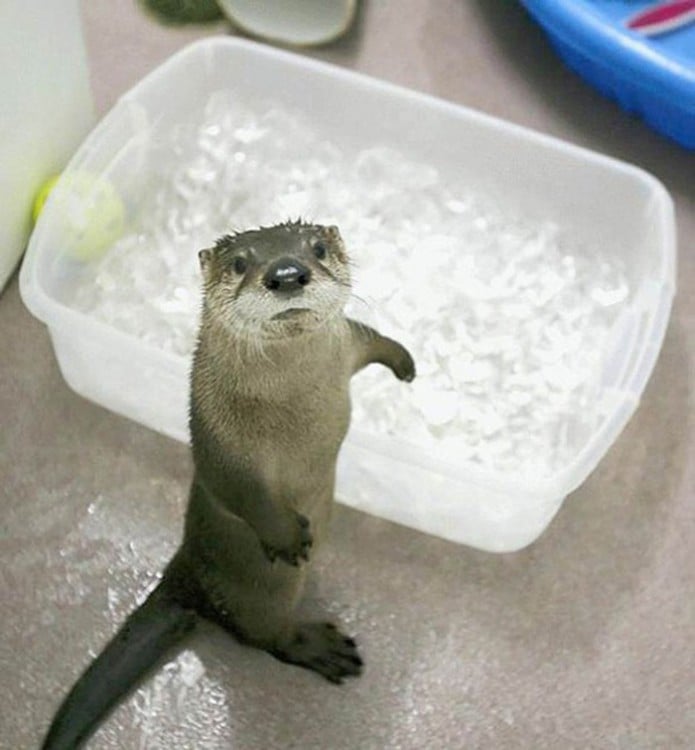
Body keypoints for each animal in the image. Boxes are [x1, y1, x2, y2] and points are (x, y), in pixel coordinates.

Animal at [43, 220, 416, 748]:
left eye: (318, 249)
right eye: (240, 263)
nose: (287, 273)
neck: (290, 399)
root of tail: (186, 573)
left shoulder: (345, 343)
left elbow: (371, 336)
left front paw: (404, 361)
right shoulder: (220, 439)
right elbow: (240, 490)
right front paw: (286, 537)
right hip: (258, 595)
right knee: (264, 638)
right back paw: (318, 646)